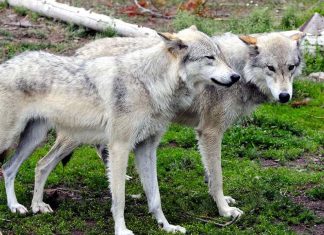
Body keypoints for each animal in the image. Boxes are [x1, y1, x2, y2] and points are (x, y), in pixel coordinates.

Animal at [0, 26, 238, 234]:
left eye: (221, 55)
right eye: (209, 57)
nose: (236, 77)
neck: (150, 85)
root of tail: (8, 63)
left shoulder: (147, 148)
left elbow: (155, 196)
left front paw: (167, 226)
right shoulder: (120, 147)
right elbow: (120, 198)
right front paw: (122, 230)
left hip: (37, 138)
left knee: (21, 167)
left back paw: (30, 206)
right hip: (16, 138)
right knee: (12, 166)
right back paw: (17, 206)